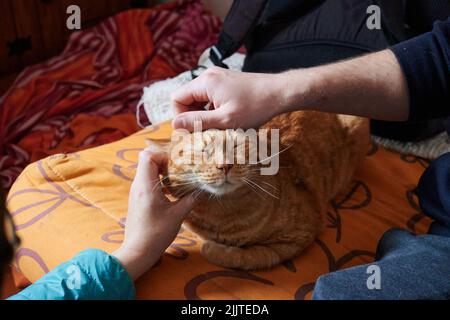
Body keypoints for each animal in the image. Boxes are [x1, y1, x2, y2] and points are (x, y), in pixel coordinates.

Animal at [151, 111, 370, 268]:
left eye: (237, 146)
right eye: (204, 151)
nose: (225, 165)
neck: (223, 216)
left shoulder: (295, 239)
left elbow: (250, 257)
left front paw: (214, 250)